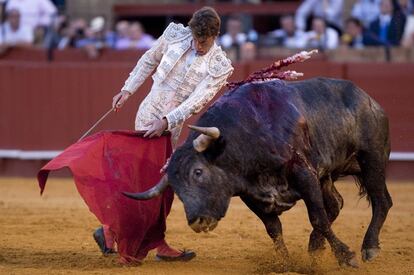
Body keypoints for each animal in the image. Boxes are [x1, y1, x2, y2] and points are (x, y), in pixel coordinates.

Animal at [123, 77, 392, 268]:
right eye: (176, 190)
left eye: (198, 172)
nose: (197, 222)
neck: (249, 135)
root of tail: (369, 100)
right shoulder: (250, 194)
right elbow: (274, 228)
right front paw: (286, 264)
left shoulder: (304, 173)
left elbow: (317, 217)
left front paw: (346, 257)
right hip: (327, 174)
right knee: (336, 204)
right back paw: (315, 248)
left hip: (372, 159)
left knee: (381, 200)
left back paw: (369, 248)